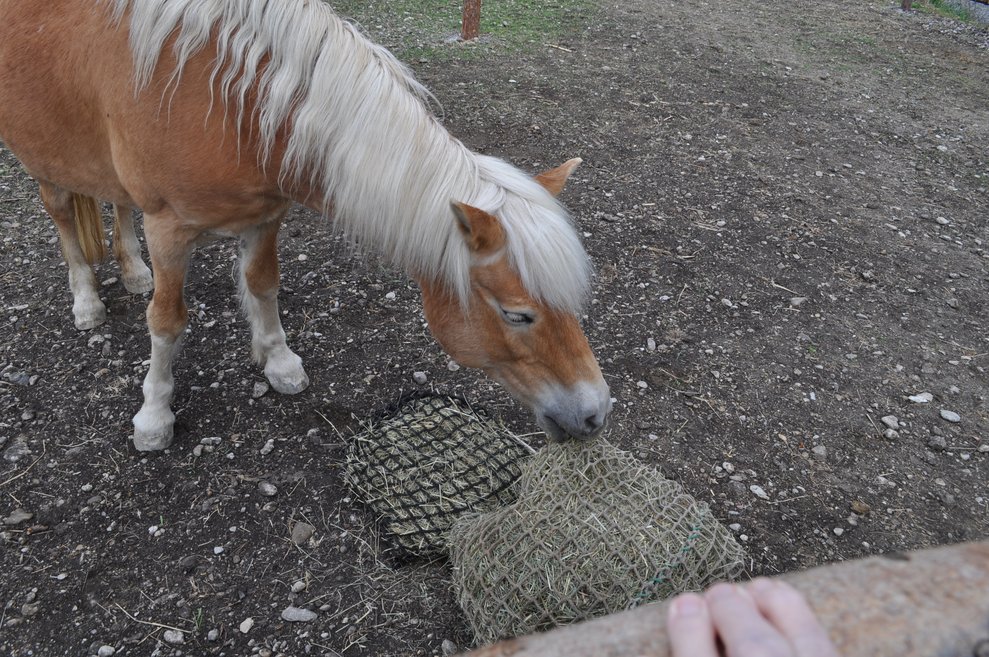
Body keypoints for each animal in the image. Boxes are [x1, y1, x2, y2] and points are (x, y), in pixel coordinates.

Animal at [0, 0, 612, 451]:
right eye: (517, 315)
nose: (596, 412)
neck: (231, 103)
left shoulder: (267, 215)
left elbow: (264, 285)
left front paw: (279, 362)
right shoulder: (168, 228)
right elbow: (168, 322)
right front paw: (154, 414)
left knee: (116, 204)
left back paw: (131, 271)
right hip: (47, 159)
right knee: (63, 214)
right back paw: (87, 301)